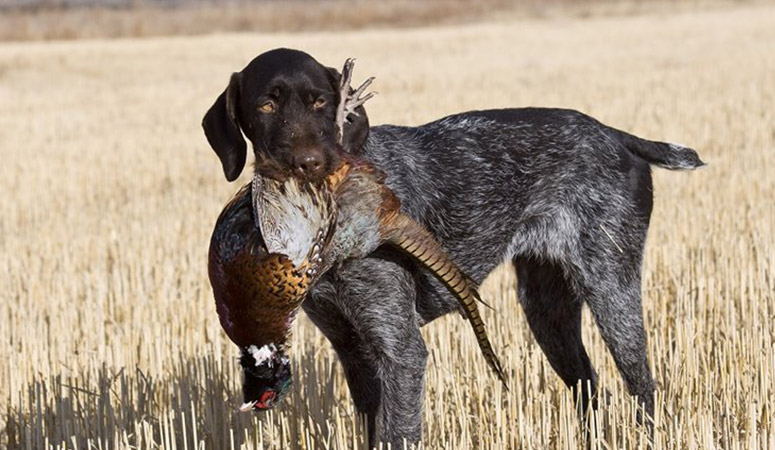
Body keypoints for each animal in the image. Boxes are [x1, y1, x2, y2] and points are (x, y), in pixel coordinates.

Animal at [202, 46, 704, 446]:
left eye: (321, 101)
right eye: (267, 104)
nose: (309, 163)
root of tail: (616, 135)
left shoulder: (400, 351)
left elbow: (399, 433)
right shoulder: (353, 351)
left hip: (612, 291)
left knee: (643, 389)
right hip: (547, 310)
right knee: (591, 389)